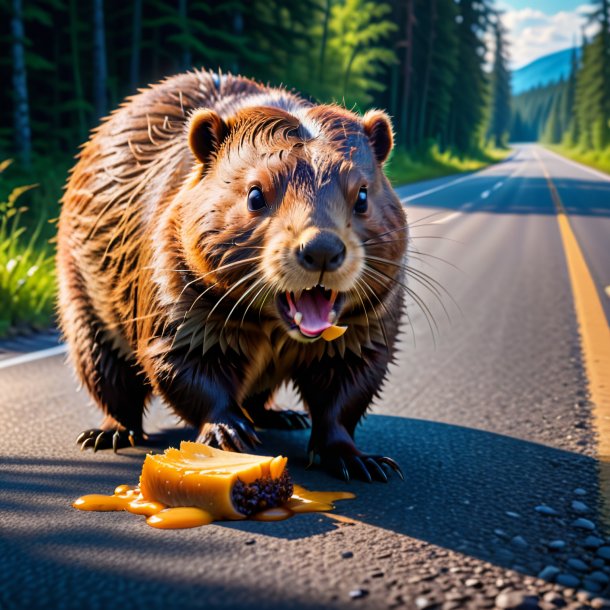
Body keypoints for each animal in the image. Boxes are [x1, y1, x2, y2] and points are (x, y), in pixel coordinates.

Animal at [57, 70, 406, 480]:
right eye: (255, 194)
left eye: (362, 195)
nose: (321, 249)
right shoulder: (170, 271)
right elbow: (178, 357)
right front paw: (227, 431)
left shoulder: (373, 311)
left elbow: (352, 375)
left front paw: (360, 460)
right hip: (82, 300)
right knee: (106, 373)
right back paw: (107, 433)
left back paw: (283, 416)